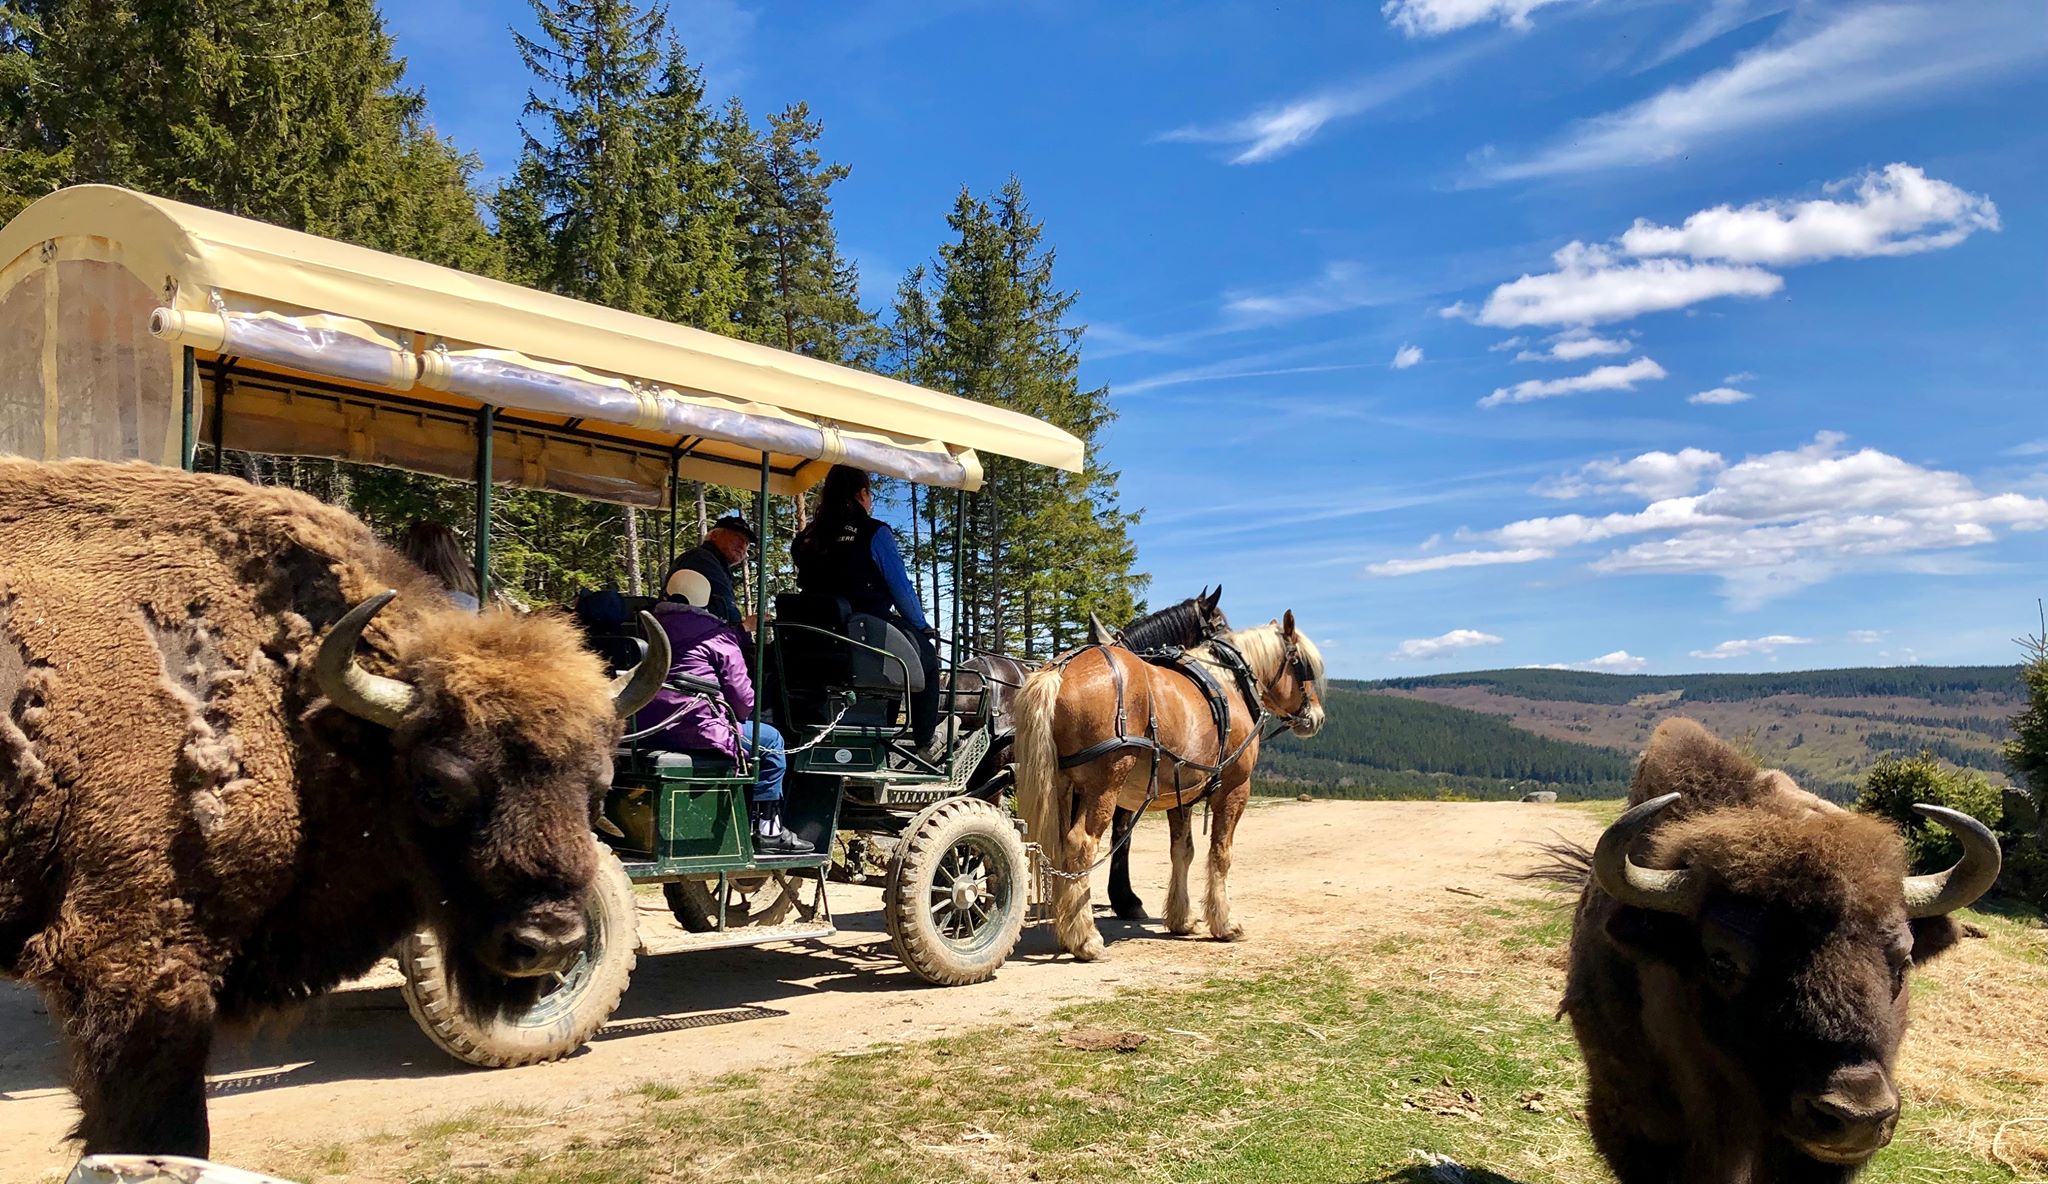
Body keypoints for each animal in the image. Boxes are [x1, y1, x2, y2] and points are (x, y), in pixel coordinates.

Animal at [1011, 614, 1327, 954]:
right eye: (1301, 665)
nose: (1317, 717)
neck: (1228, 683)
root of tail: (1059, 670)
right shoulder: (1235, 788)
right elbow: (1221, 853)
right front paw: (1225, 923)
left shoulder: (1181, 795)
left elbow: (1182, 852)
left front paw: (1181, 918)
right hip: (1103, 785)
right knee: (1080, 845)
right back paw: (1085, 938)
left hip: (1063, 787)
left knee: (1056, 848)